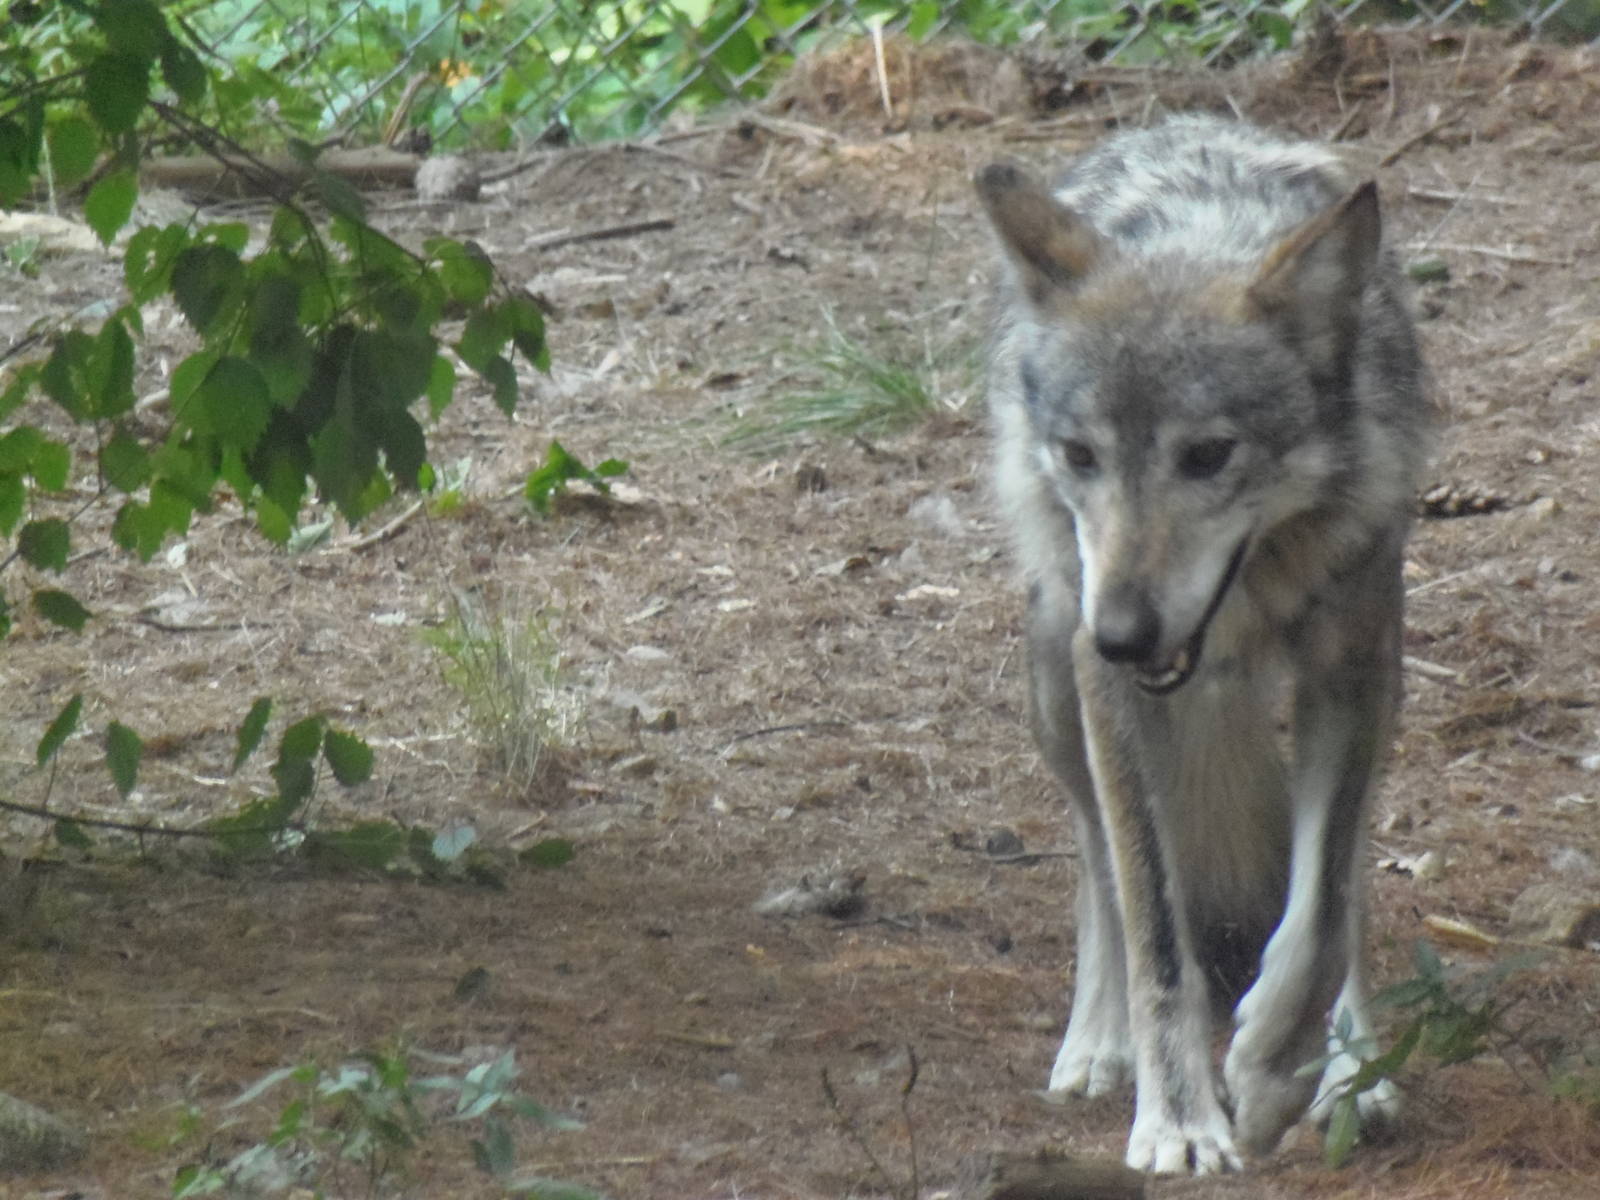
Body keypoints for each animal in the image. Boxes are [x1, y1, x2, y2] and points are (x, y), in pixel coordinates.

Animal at [975, 115, 1429, 1174]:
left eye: (1209, 455)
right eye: (1082, 455)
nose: (1124, 633)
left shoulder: (1354, 672)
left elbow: (1324, 912)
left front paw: (1277, 1067)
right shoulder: (1106, 689)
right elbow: (1154, 925)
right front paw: (1180, 1121)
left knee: (1342, 888)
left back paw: (1354, 1065)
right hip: (1055, 679)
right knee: (1097, 863)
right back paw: (1098, 1045)